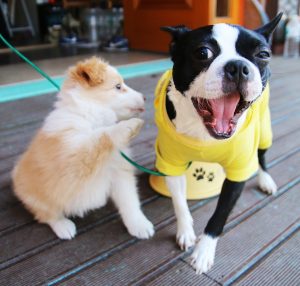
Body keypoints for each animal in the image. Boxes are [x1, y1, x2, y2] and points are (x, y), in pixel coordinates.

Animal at [158, 13, 282, 274]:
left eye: (263, 54)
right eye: (202, 53)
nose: (238, 67)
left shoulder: (238, 173)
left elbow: (219, 216)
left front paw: (204, 251)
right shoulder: (172, 164)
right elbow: (179, 202)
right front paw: (186, 232)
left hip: (264, 130)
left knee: (262, 156)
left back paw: (266, 180)